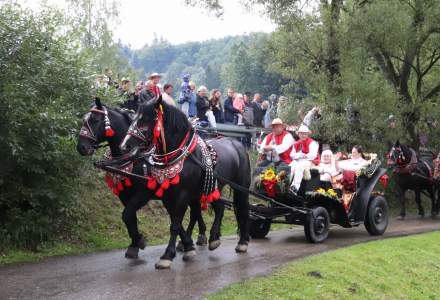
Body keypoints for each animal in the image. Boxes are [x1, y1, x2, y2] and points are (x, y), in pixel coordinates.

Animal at [77, 98, 208, 258]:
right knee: (195, 212)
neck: (134, 159)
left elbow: (127, 215)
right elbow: (130, 217)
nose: (81, 147)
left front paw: (138, 242)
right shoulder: (125, 195)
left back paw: (198, 237)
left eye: (95, 120)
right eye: (84, 120)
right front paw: (135, 242)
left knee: (195, 212)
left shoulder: (143, 194)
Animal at [120, 96, 251, 270]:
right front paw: (187, 247)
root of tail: (237, 143)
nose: (124, 146)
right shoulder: (168, 196)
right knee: (220, 208)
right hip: (213, 187)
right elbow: (176, 222)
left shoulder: (182, 194)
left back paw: (242, 242)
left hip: (241, 187)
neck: (182, 155)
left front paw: (167, 256)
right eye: (134, 118)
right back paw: (214, 238)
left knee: (242, 209)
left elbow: (175, 224)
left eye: (145, 120)